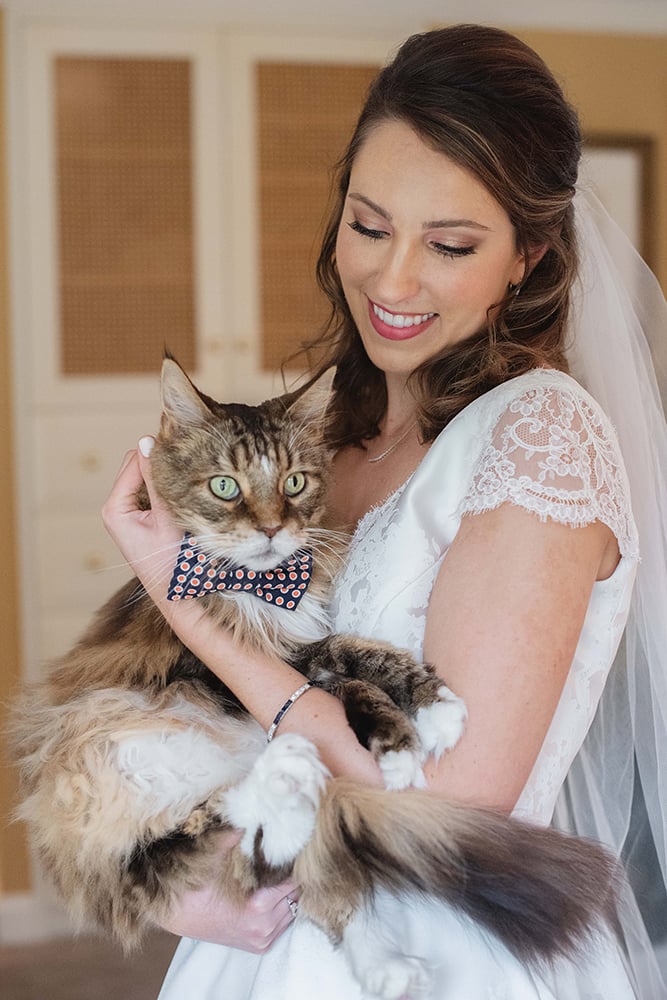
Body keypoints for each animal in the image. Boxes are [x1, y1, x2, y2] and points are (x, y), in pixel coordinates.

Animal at [10, 356, 624, 996]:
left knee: (258, 848)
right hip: (101, 765)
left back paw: (384, 963)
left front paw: (423, 717)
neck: (260, 587)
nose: (270, 530)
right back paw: (285, 771)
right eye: (225, 487)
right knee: (200, 831)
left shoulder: (291, 650)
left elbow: (352, 662)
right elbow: (344, 667)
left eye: (295, 483)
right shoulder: (213, 667)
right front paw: (409, 735)